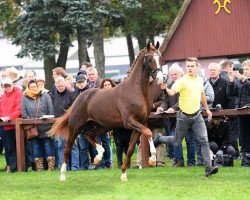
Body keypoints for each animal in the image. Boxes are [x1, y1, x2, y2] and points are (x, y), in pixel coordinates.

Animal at [49, 42, 163, 181]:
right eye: (150, 59)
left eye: (160, 58)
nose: (161, 78)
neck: (136, 91)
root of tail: (80, 97)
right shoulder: (130, 122)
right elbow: (148, 132)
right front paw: (152, 159)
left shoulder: (139, 124)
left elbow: (131, 148)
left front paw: (123, 174)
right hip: (75, 127)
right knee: (67, 148)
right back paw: (63, 176)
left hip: (103, 126)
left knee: (89, 135)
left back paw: (98, 157)